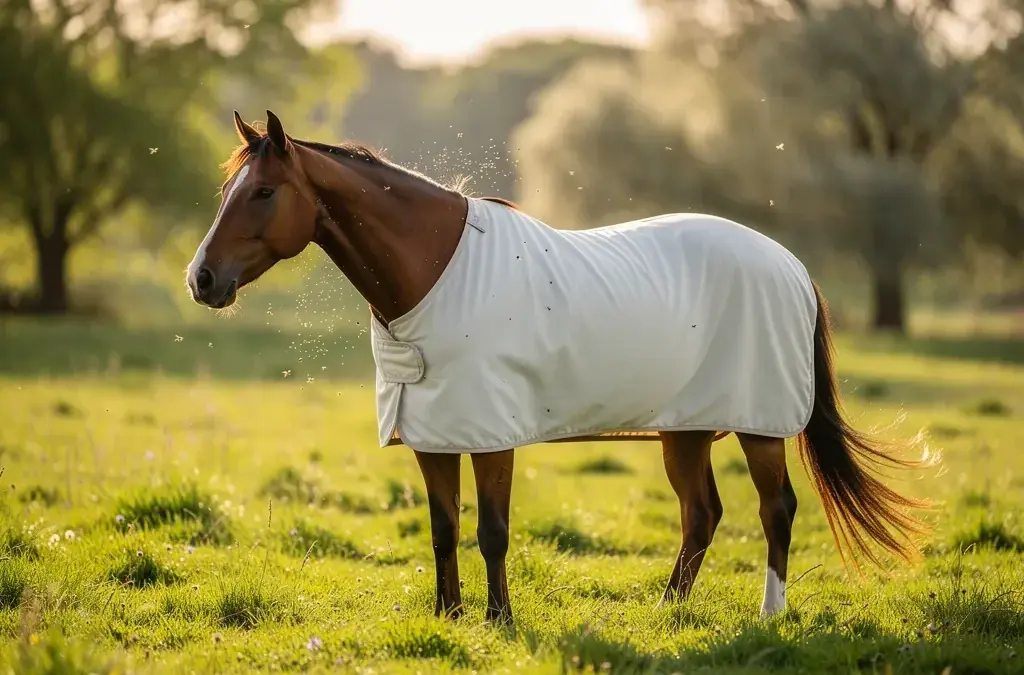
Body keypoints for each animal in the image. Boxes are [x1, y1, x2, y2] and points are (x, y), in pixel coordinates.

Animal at [185, 110, 931, 625]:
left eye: (263, 193)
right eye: (227, 190)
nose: (202, 279)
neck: (434, 273)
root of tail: (791, 266)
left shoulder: (492, 435)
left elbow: (492, 531)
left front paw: (499, 619)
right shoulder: (433, 434)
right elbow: (444, 529)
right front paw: (449, 616)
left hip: (759, 424)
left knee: (776, 510)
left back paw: (768, 614)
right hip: (686, 427)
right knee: (701, 514)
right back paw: (668, 609)